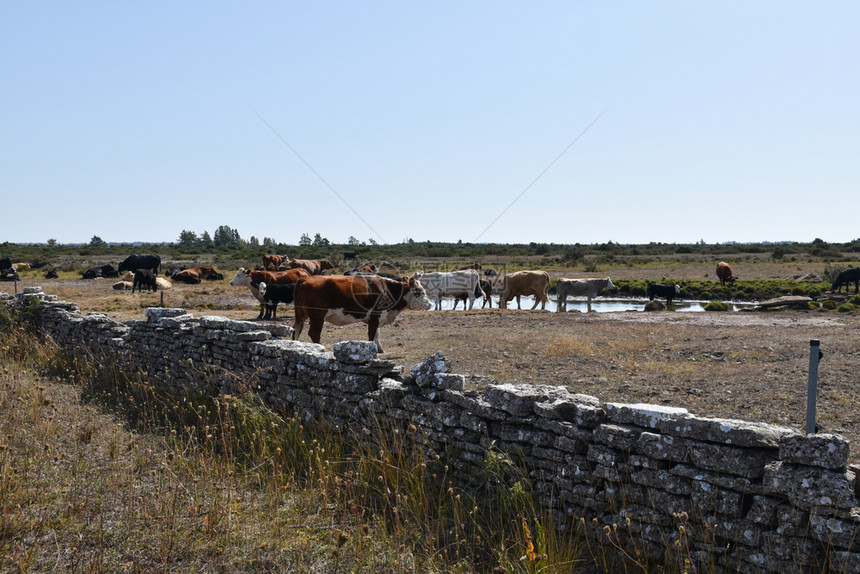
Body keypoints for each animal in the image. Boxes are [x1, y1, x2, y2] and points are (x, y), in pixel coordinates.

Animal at [292, 274, 434, 354]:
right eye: (419, 291)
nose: (430, 304)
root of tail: (305, 278)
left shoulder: (377, 317)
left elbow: (377, 333)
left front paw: (380, 349)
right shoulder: (375, 315)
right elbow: (372, 334)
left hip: (301, 315)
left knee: (296, 331)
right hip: (318, 316)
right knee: (314, 333)